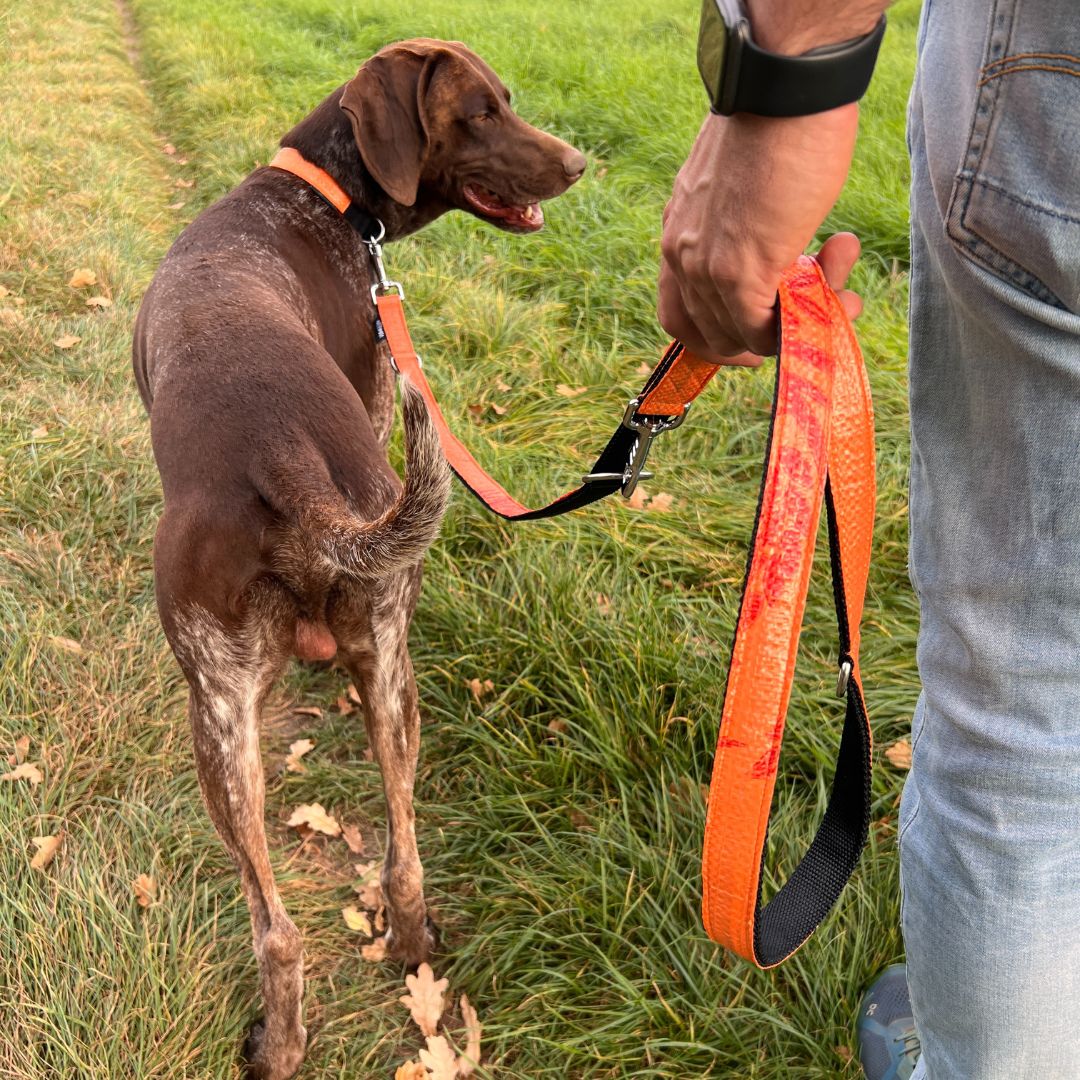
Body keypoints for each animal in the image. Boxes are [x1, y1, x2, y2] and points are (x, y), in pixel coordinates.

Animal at [136, 38, 591, 1075]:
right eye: (482, 111)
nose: (581, 163)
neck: (320, 195)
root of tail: (282, 457)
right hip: (365, 675)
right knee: (395, 859)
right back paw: (391, 965)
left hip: (222, 713)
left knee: (280, 923)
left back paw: (281, 1041)